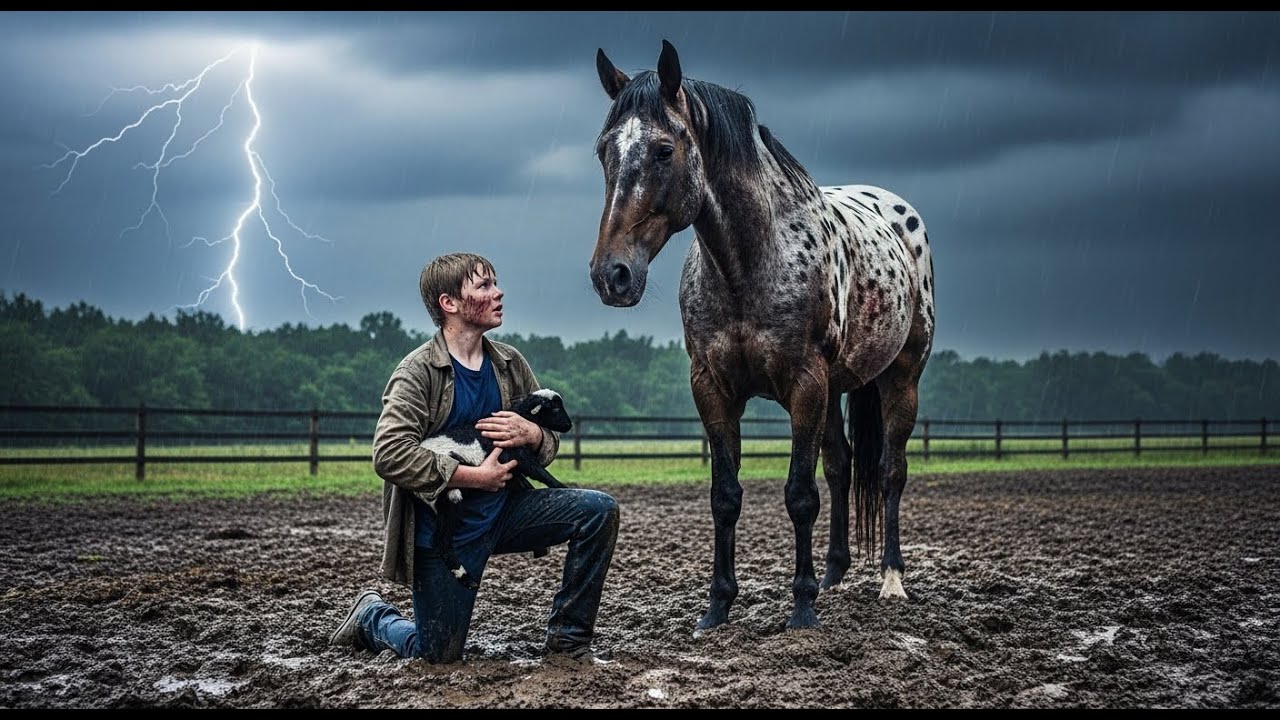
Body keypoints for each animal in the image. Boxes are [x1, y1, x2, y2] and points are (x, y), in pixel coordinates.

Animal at [588, 40, 936, 635]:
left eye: (663, 150)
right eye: (602, 151)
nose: (612, 275)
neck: (748, 266)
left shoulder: (805, 385)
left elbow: (800, 495)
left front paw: (801, 609)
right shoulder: (713, 388)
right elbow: (725, 496)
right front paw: (717, 607)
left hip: (900, 378)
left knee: (890, 472)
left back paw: (891, 580)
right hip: (837, 390)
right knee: (841, 467)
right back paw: (834, 574)